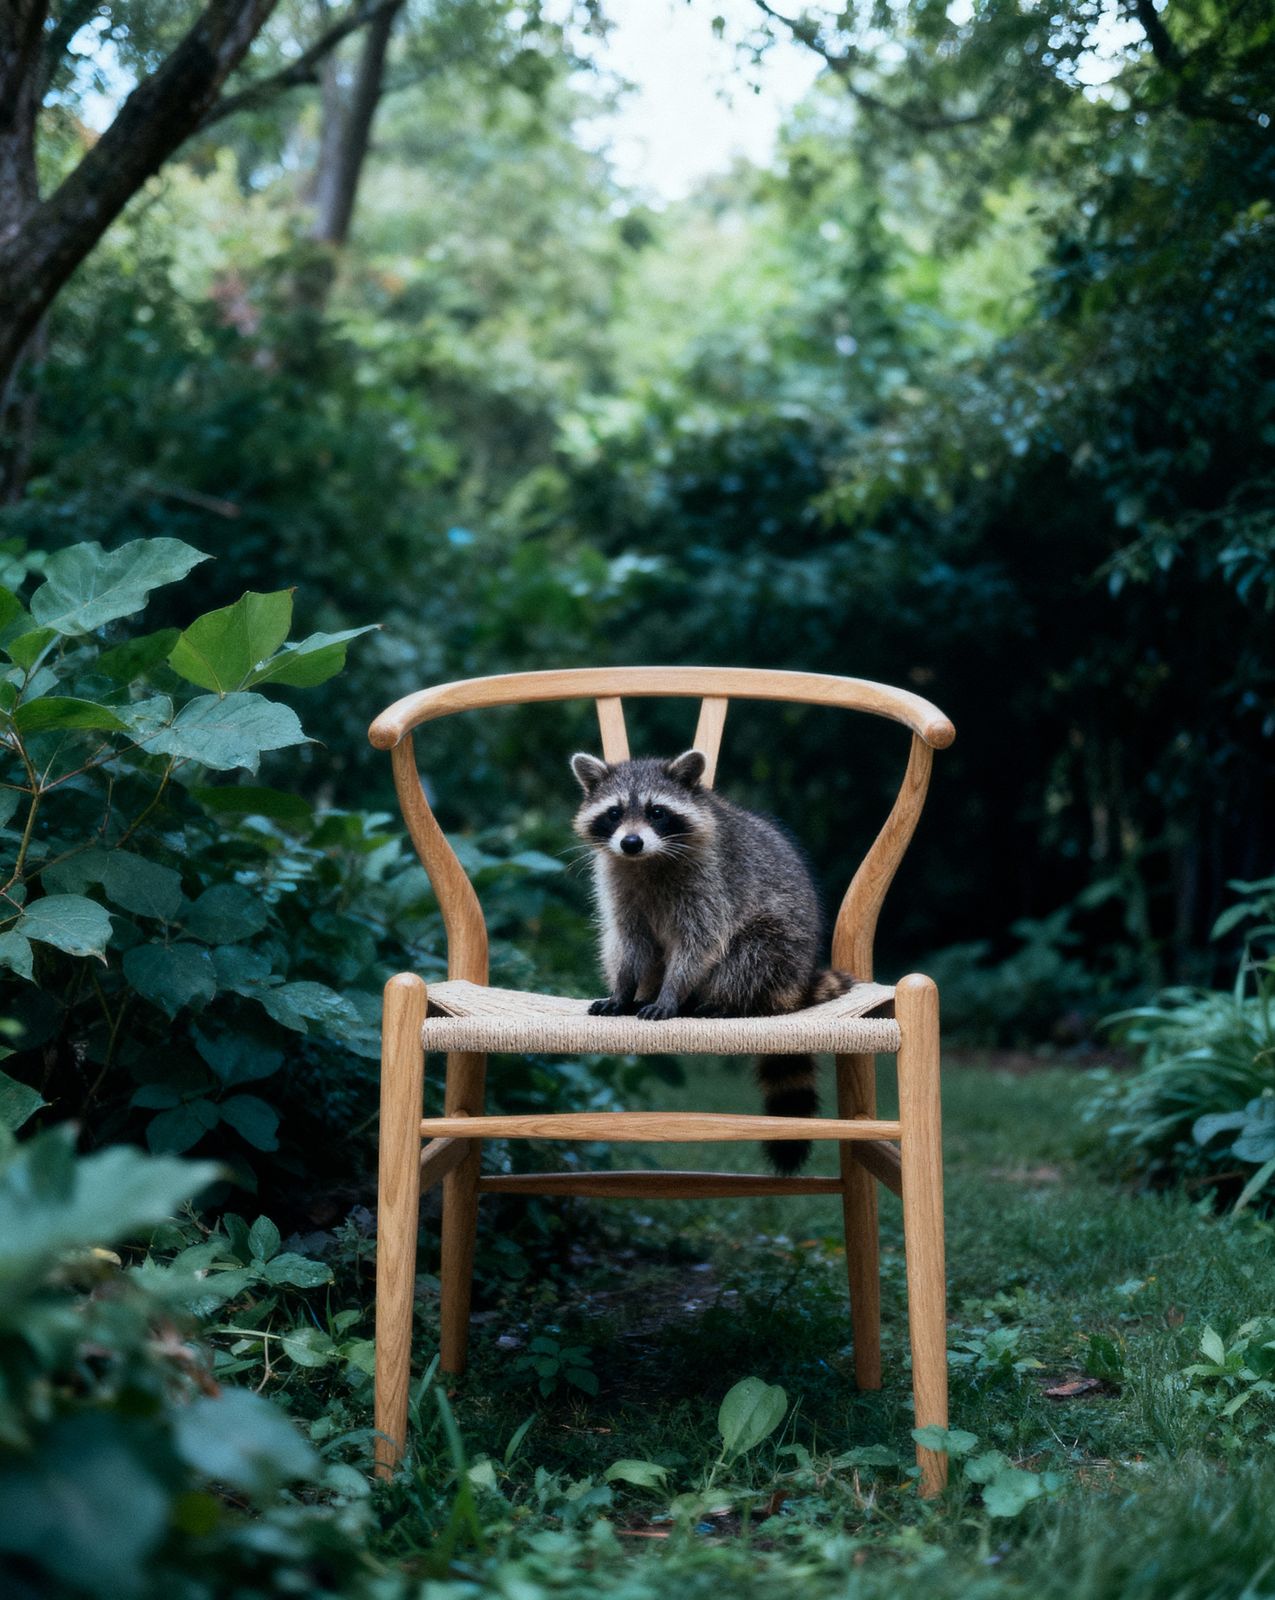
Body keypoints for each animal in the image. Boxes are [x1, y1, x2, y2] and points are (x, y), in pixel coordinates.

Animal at [570, 747, 856, 1173]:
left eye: (657, 812)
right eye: (614, 813)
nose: (631, 842)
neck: (647, 860)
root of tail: (798, 982)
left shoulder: (712, 882)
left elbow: (700, 943)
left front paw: (671, 993)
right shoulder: (620, 883)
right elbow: (629, 943)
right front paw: (622, 990)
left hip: (781, 947)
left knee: (750, 954)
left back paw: (724, 1002)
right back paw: (645, 994)